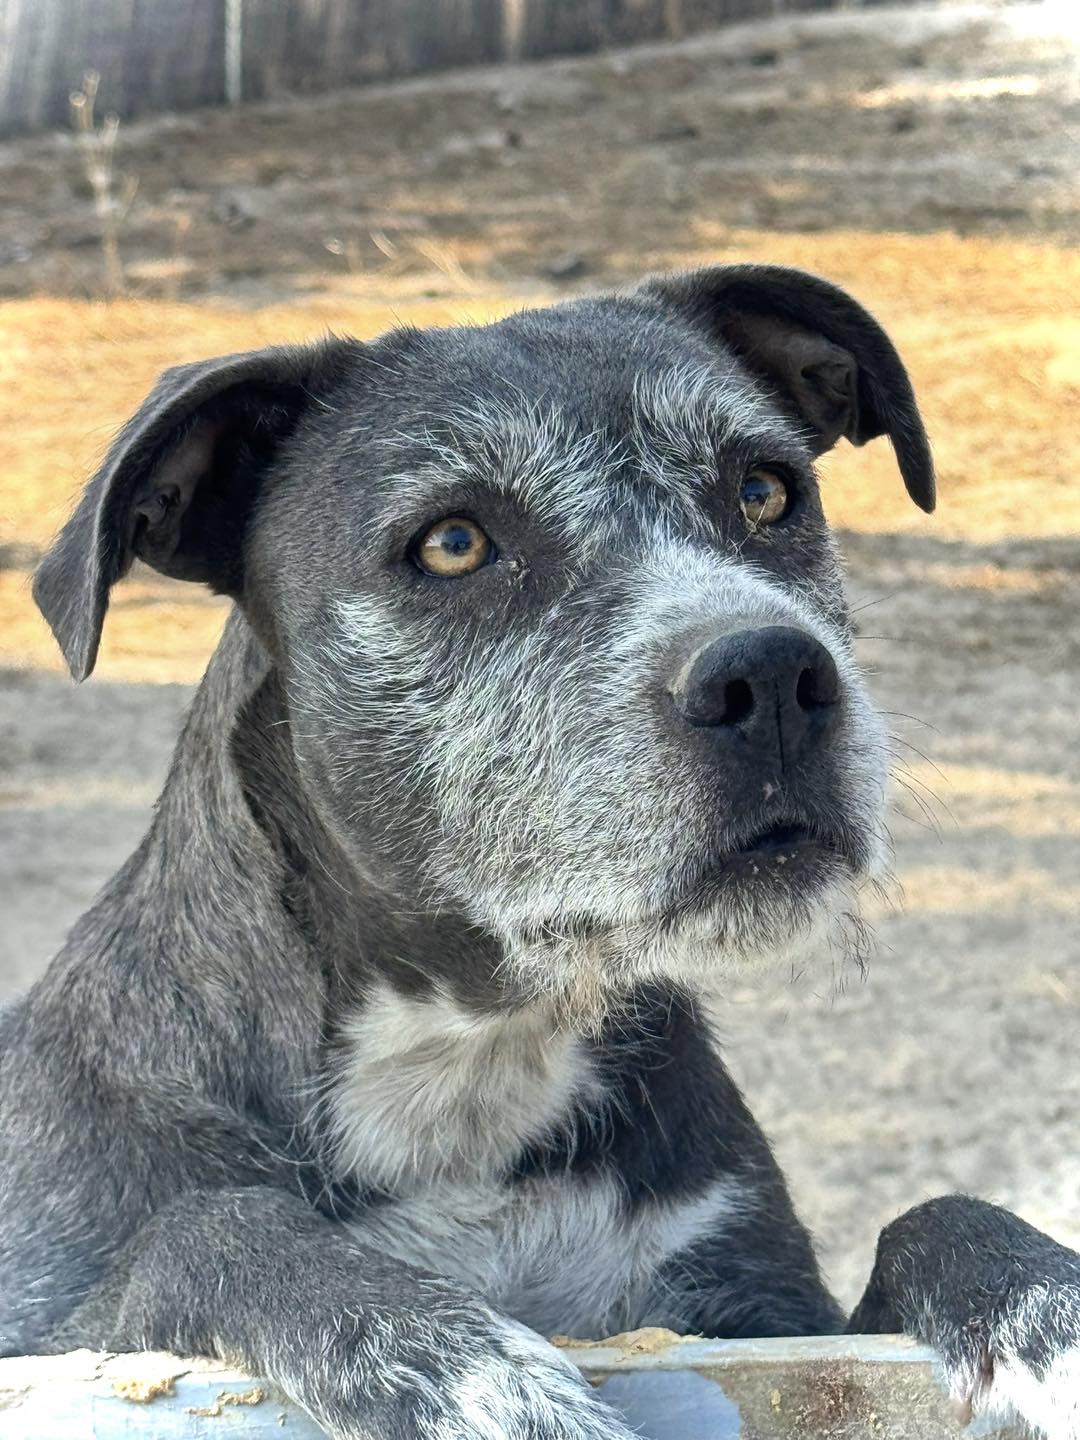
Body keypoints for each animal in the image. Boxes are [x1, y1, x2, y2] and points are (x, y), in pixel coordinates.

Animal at [2, 265, 1078, 1440]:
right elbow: (201, 1234)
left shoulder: (769, 1311)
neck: (470, 1070)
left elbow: (934, 1212)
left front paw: (1049, 1309)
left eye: (766, 491)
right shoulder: (73, 1309)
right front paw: (466, 1372)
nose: (773, 677)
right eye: (454, 543)